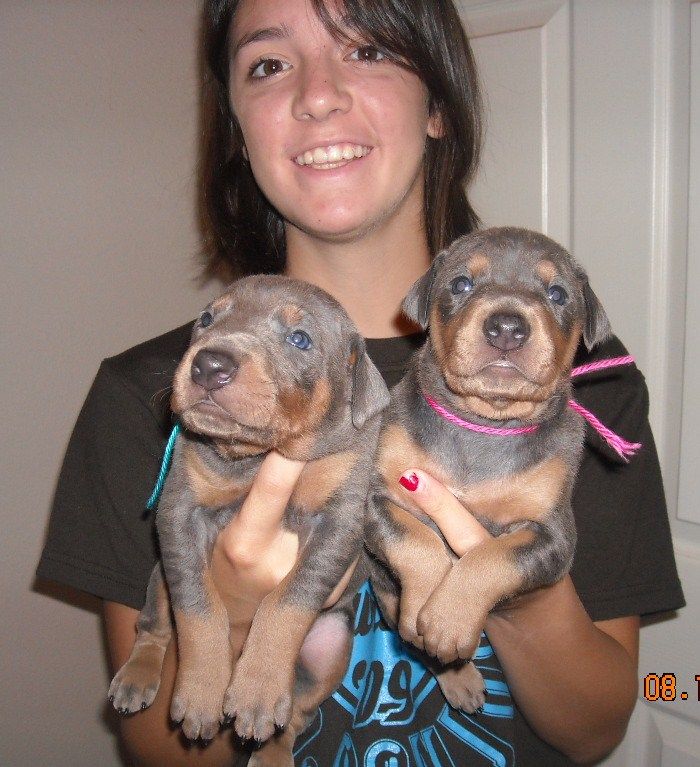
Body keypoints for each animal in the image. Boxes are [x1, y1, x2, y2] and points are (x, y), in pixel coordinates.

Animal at [366, 226, 612, 712]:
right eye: (462, 284)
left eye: (557, 294)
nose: (507, 327)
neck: (485, 425)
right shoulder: (382, 497)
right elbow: (415, 540)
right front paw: (425, 602)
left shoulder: (552, 535)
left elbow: (493, 556)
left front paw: (447, 619)